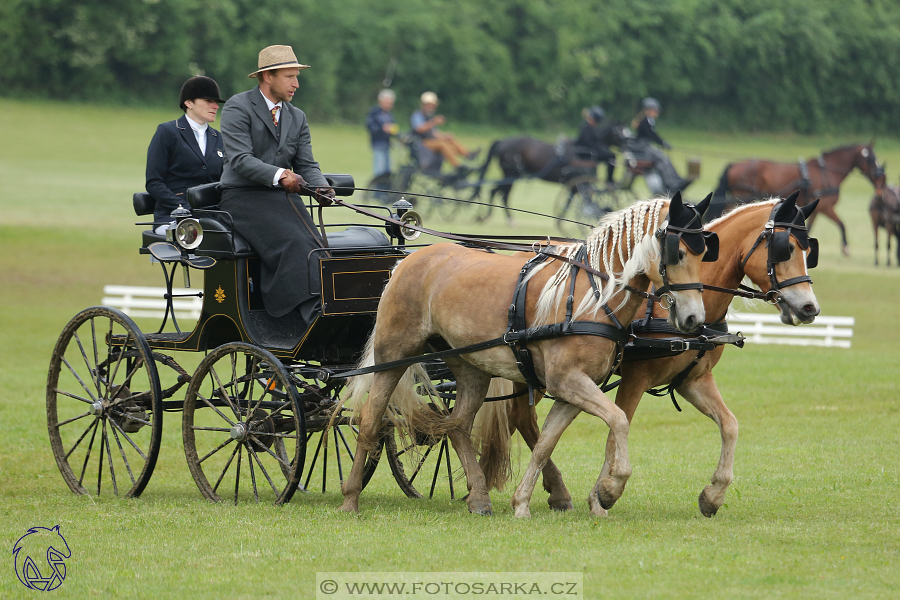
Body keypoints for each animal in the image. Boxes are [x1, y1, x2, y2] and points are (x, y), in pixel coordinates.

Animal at [340, 193, 716, 516]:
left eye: (703, 256)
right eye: (678, 253)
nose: (693, 318)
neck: (591, 296)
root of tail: (409, 260)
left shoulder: (572, 389)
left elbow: (546, 442)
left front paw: (525, 502)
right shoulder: (568, 382)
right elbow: (618, 419)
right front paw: (610, 490)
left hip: (471, 368)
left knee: (458, 425)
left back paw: (479, 497)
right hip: (393, 356)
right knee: (369, 419)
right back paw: (350, 498)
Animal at [478, 191, 824, 516]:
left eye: (810, 251)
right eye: (786, 248)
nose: (810, 308)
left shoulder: (693, 380)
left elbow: (730, 425)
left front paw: (713, 495)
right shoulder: (635, 377)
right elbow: (615, 432)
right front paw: (604, 493)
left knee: (522, 420)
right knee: (524, 420)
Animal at [712, 143, 884, 255]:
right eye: (871, 159)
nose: (880, 178)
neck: (827, 173)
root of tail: (734, 164)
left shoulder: (817, 209)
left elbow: (811, 226)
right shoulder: (827, 207)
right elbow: (841, 224)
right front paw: (846, 248)